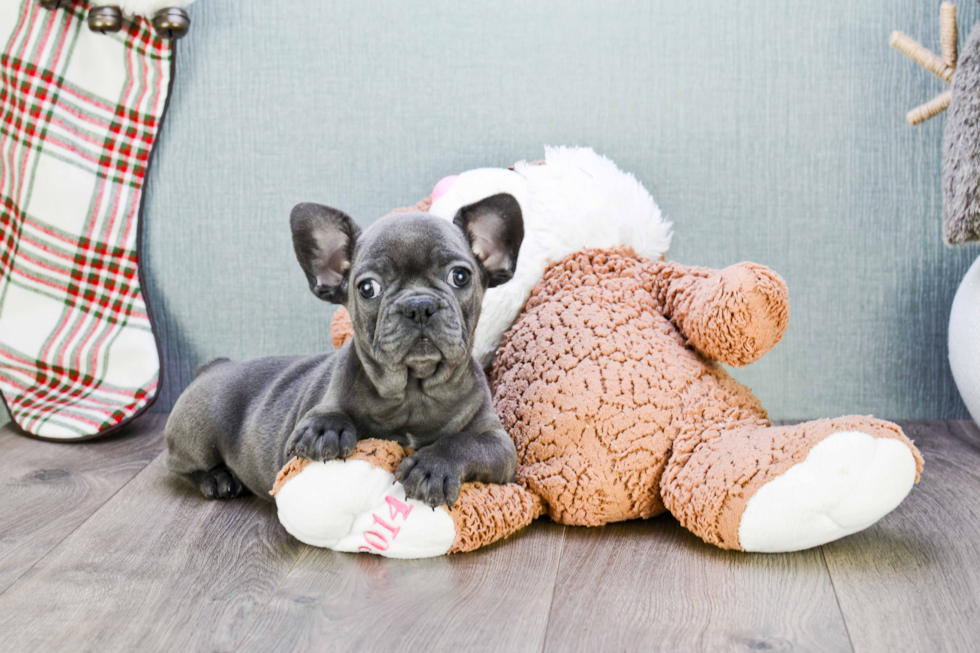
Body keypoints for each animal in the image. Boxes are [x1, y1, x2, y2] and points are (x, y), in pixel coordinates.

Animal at [165, 194, 524, 510]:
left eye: (459, 276)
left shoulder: (498, 444)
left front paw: (433, 467)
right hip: (197, 436)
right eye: (368, 288)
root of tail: (215, 366)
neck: (414, 390)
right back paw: (217, 479)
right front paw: (328, 429)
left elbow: (464, 442)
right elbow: (326, 414)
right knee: (179, 467)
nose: (419, 305)